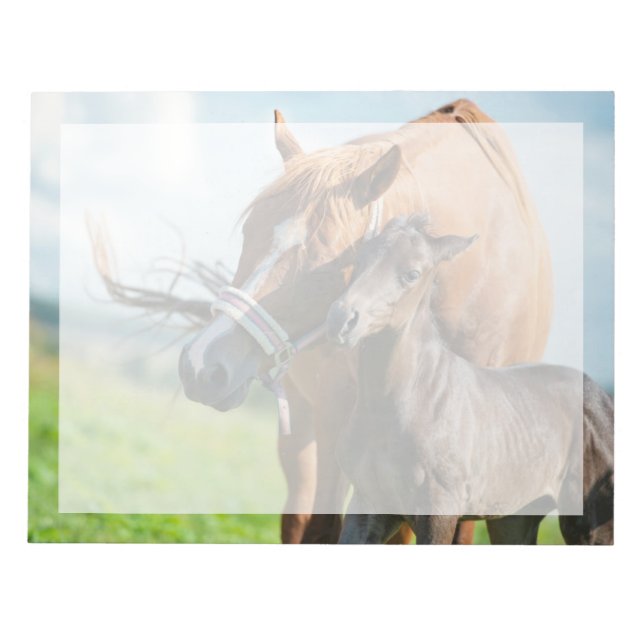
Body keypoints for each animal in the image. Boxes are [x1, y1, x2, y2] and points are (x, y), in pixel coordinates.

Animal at [326, 215, 614, 545]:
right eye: (360, 260)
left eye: (412, 274)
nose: (340, 320)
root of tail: (603, 400)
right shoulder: (369, 507)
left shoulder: (439, 511)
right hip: (514, 519)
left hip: (590, 524)